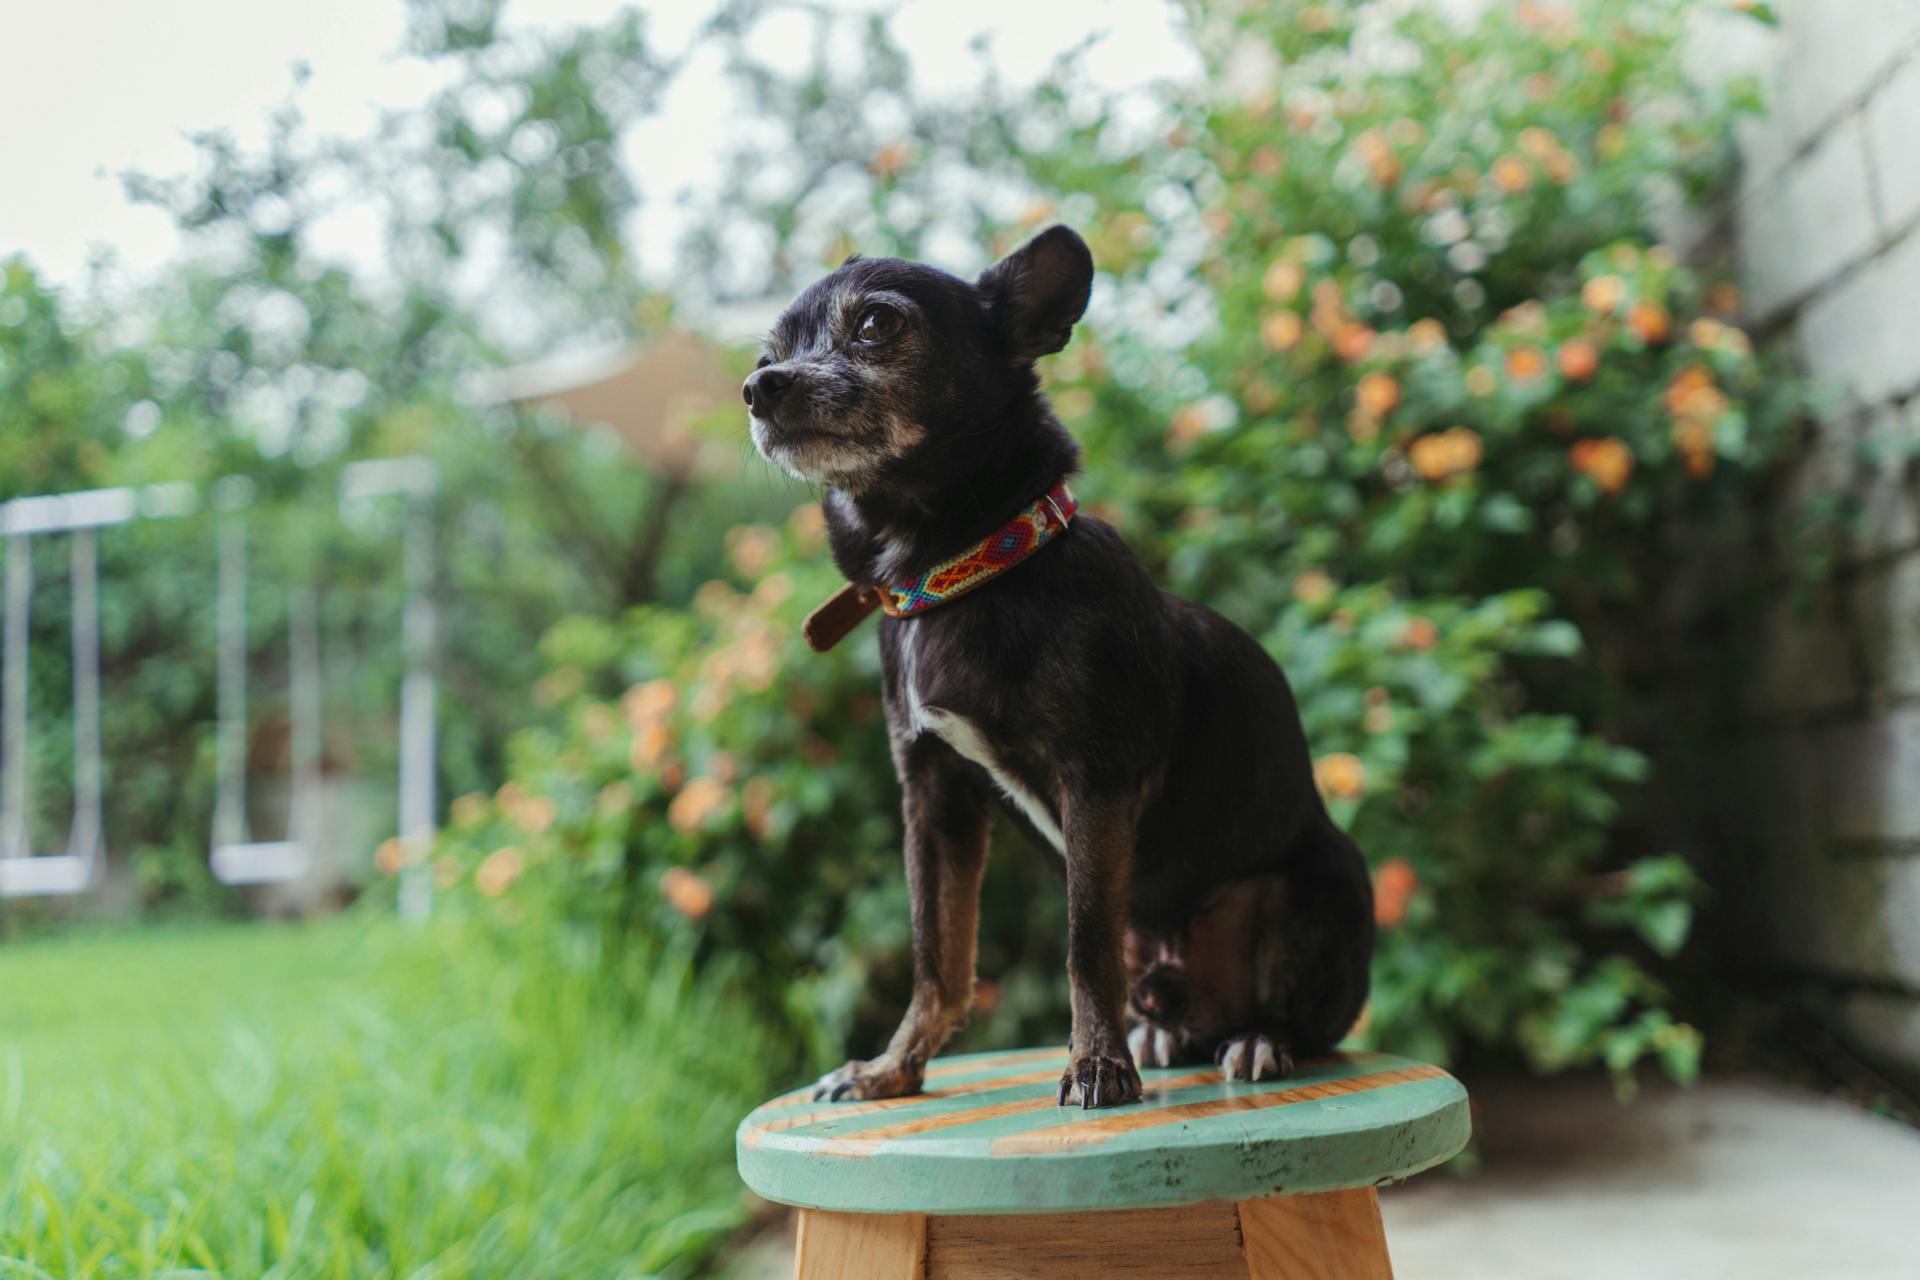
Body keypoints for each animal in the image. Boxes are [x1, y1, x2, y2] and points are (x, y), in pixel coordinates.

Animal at [741, 225, 1374, 1105]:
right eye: (769, 354)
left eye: (875, 325)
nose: (758, 389)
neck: (956, 573)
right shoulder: (934, 798)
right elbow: (938, 958)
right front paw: (893, 1068)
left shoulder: (1096, 781)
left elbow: (1084, 944)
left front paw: (1096, 1063)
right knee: (1175, 1008)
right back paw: (1165, 1032)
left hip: (1314, 892)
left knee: (1309, 1022)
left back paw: (1257, 1039)